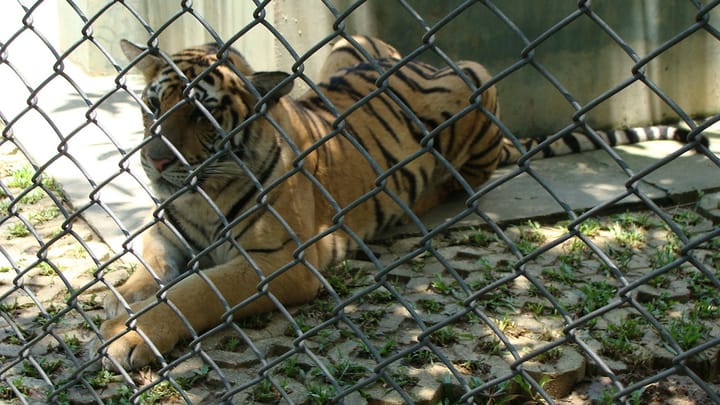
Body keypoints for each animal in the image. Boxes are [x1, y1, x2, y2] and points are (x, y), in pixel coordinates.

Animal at [101, 34, 708, 370]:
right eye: (152, 106)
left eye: (200, 114)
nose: (154, 161)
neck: (200, 194)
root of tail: (430, 61)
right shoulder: (168, 227)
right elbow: (150, 265)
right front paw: (119, 299)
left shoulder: (283, 262)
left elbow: (197, 291)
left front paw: (131, 335)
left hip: (477, 93)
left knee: (472, 176)